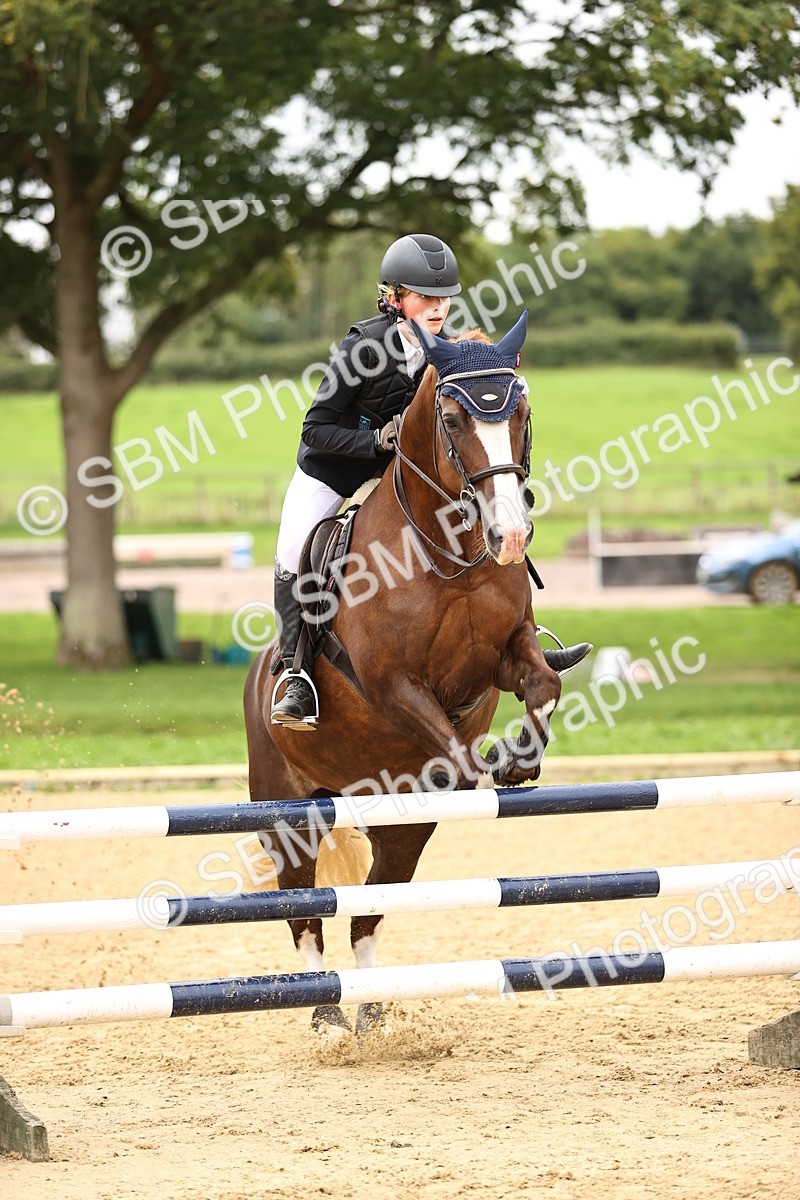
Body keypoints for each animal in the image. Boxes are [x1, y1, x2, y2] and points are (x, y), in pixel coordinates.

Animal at [243, 310, 563, 1034]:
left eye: (523, 410)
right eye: (452, 418)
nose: (510, 535)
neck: (448, 550)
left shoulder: (509, 652)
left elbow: (544, 684)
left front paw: (521, 759)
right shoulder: (394, 686)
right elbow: (458, 754)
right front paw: (492, 766)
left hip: (401, 824)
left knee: (368, 906)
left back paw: (370, 1008)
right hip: (287, 809)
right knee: (304, 909)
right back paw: (326, 1013)